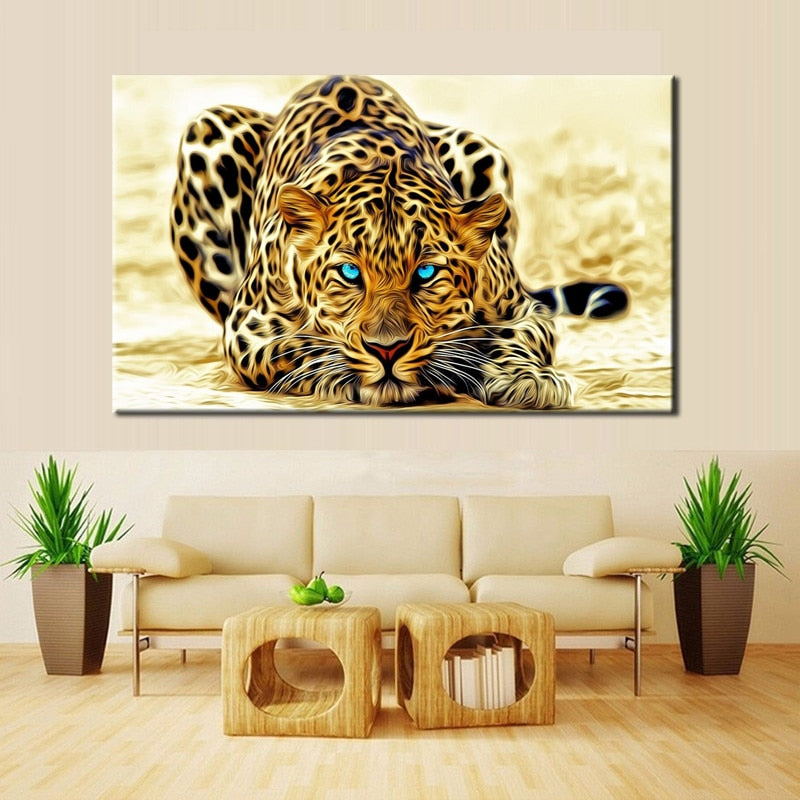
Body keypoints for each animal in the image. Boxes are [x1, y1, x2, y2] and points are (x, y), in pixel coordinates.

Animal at [169, 75, 628, 409]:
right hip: (208, 130)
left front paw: (526, 378)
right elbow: (301, 346)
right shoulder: (249, 328)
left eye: (426, 272)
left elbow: (514, 339)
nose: (387, 351)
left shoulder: (523, 311)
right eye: (349, 272)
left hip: (480, 148)